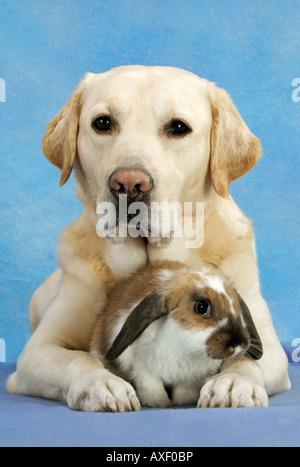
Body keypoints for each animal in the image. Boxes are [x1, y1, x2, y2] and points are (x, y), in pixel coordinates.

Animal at [90, 262, 262, 408]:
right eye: (202, 306)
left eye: (237, 306)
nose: (238, 343)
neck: (186, 348)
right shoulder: (141, 367)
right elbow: (150, 384)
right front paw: (158, 402)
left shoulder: (192, 376)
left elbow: (185, 388)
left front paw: (184, 400)